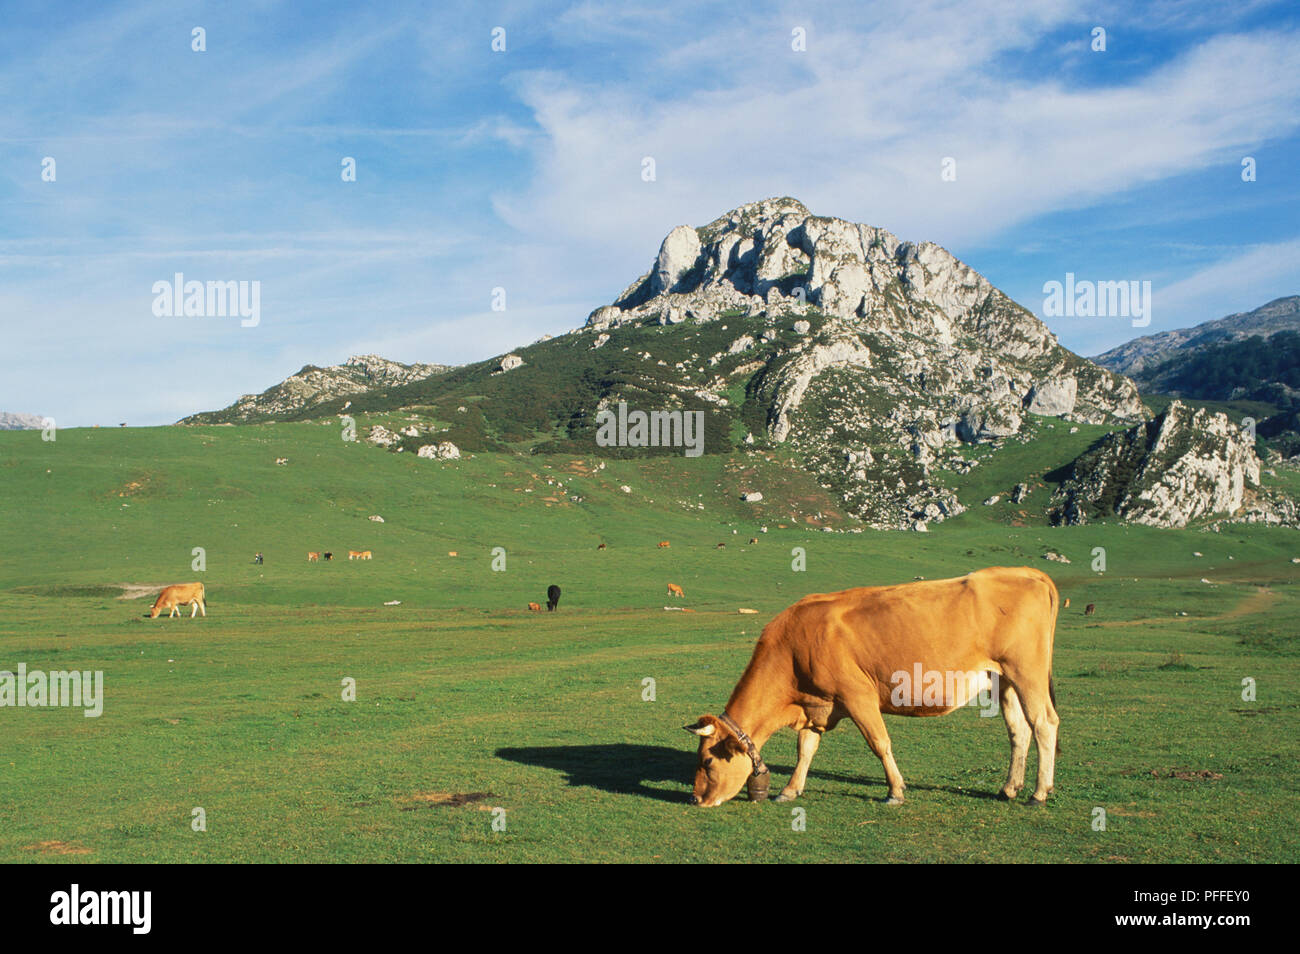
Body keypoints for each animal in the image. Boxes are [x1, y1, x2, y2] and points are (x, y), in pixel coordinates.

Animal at [686, 571, 1060, 811]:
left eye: (706, 760)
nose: (696, 798)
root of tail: (1024, 572)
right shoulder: (816, 705)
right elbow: (805, 750)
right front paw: (790, 790)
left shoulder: (857, 696)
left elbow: (879, 743)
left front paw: (895, 791)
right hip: (1003, 680)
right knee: (1019, 730)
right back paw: (1009, 788)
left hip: (1026, 672)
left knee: (1044, 723)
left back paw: (1039, 793)